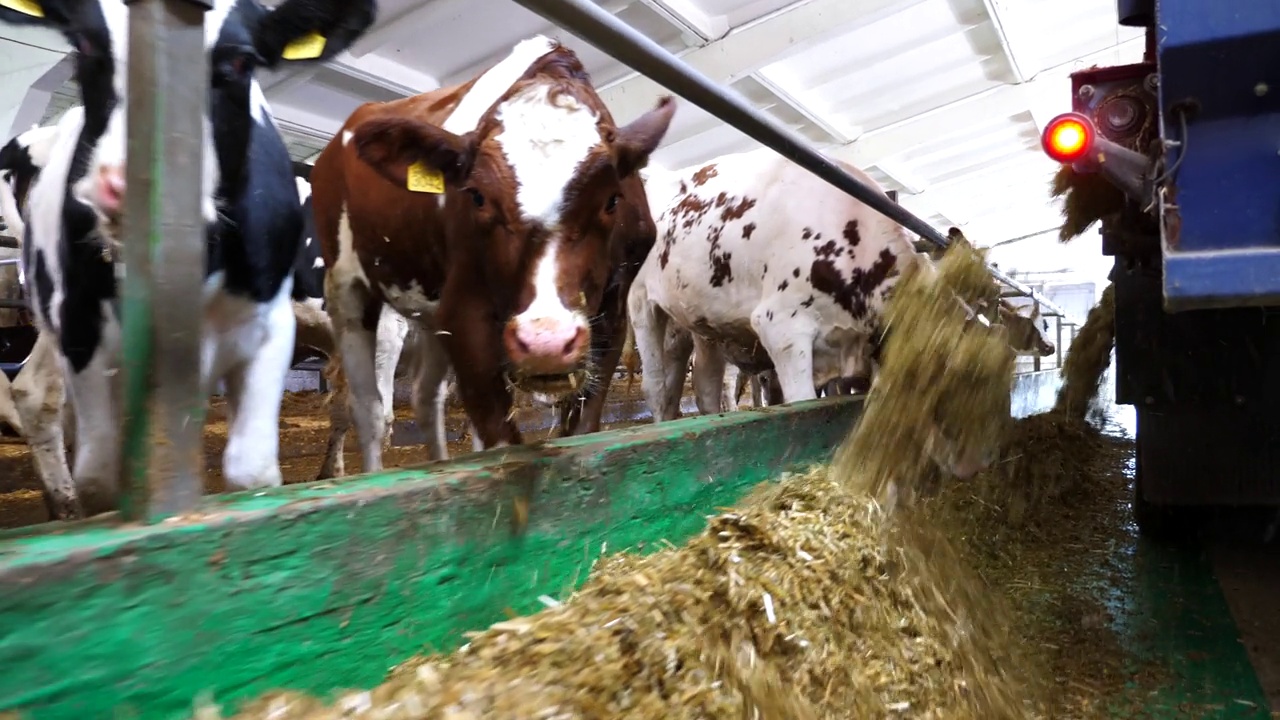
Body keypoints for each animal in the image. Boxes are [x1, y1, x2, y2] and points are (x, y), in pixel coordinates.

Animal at [312, 35, 670, 471]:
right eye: (477, 196)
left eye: (612, 200)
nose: (546, 343)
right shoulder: (463, 310)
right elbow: (500, 441)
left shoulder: (612, 313)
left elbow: (583, 426)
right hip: (345, 283)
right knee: (366, 408)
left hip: (428, 308)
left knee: (425, 396)